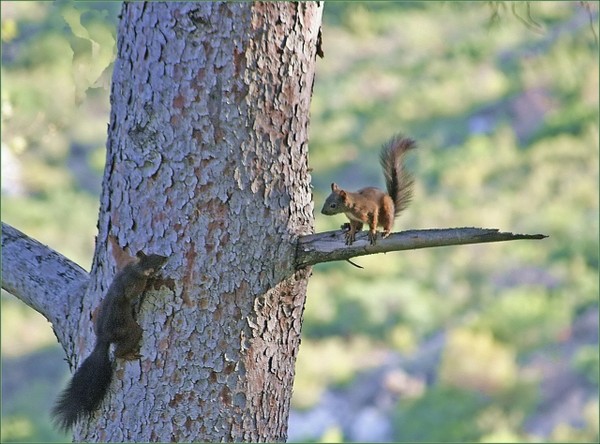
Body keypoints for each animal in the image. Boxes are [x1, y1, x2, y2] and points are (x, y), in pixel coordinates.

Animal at [52, 253, 166, 430]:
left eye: (156, 255)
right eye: (157, 262)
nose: (166, 258)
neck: (135, 268)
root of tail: (103, 339)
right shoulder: (132, 283)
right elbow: (133, 293)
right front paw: (152, 279)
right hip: (129, 330)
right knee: (120, 348)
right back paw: (126, 354)